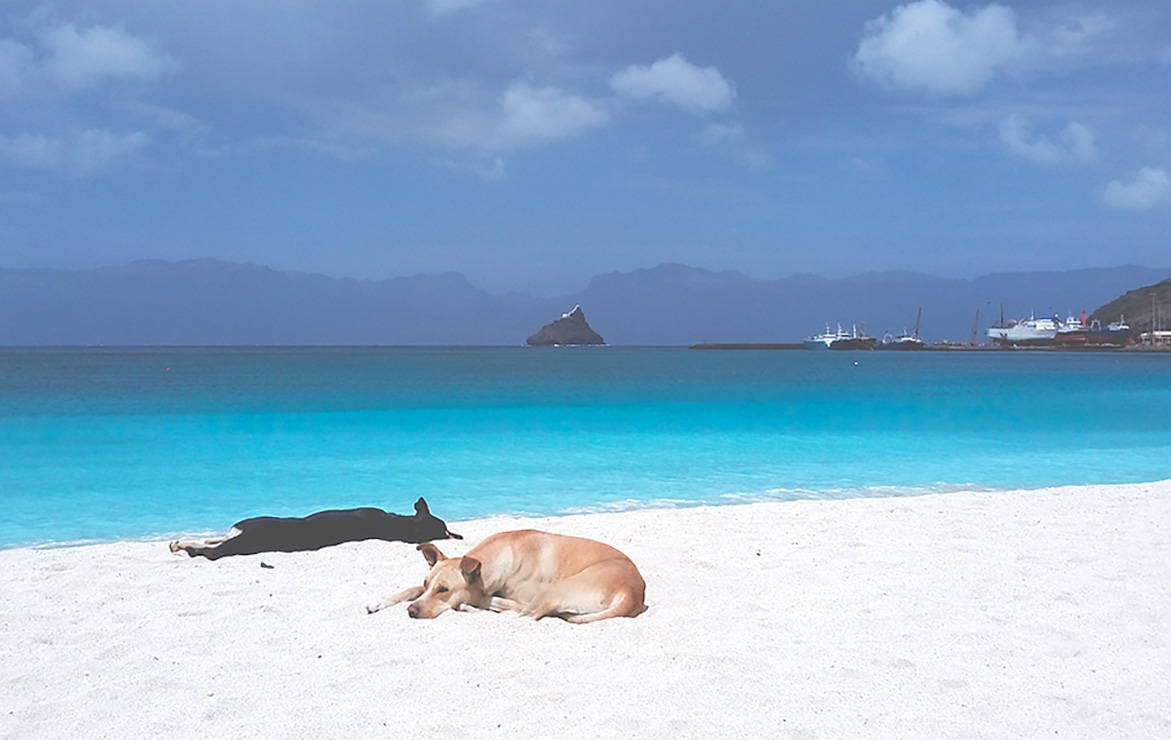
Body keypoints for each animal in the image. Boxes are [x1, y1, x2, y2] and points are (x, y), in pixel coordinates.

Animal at [370, 526, 646, 622]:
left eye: (444, 590)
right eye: (427, 584)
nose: (411, 611)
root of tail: (633, 592)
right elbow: (411, 589)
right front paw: (379, 602)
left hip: (555, 588)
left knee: (523, 615)